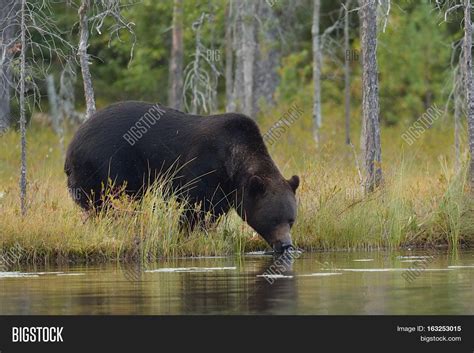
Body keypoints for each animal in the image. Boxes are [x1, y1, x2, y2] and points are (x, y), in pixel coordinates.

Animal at [64, 100, 298, 252]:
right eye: (273, 218)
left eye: (291, 219)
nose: (286, 245)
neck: (233, 163)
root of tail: (72, 144)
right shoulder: (204, 167)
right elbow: (195, 207)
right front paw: (187, 234)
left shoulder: (227, 190)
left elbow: (213, 211)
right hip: (105, 166)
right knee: (108, 204)